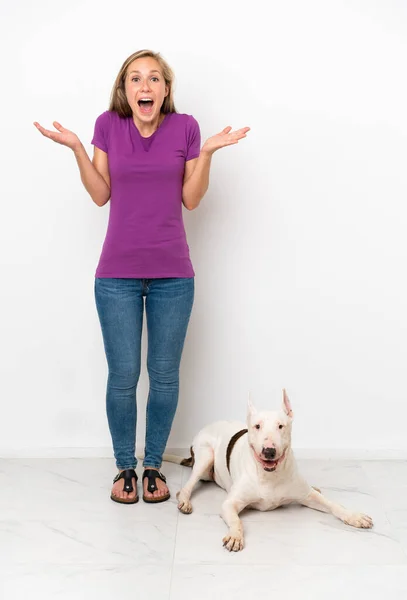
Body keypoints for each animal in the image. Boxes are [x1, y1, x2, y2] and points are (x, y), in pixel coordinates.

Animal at [165, 390, 372, 552]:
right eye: (257, 426)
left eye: (281, 426)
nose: (269, 451)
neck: (270, 476)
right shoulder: (230, 504)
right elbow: (237, 521)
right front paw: (235, 536)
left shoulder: (307, 496)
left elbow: (334, 505)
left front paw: (354, 516)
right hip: (205, 455)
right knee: (186, 487)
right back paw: (184, 501)